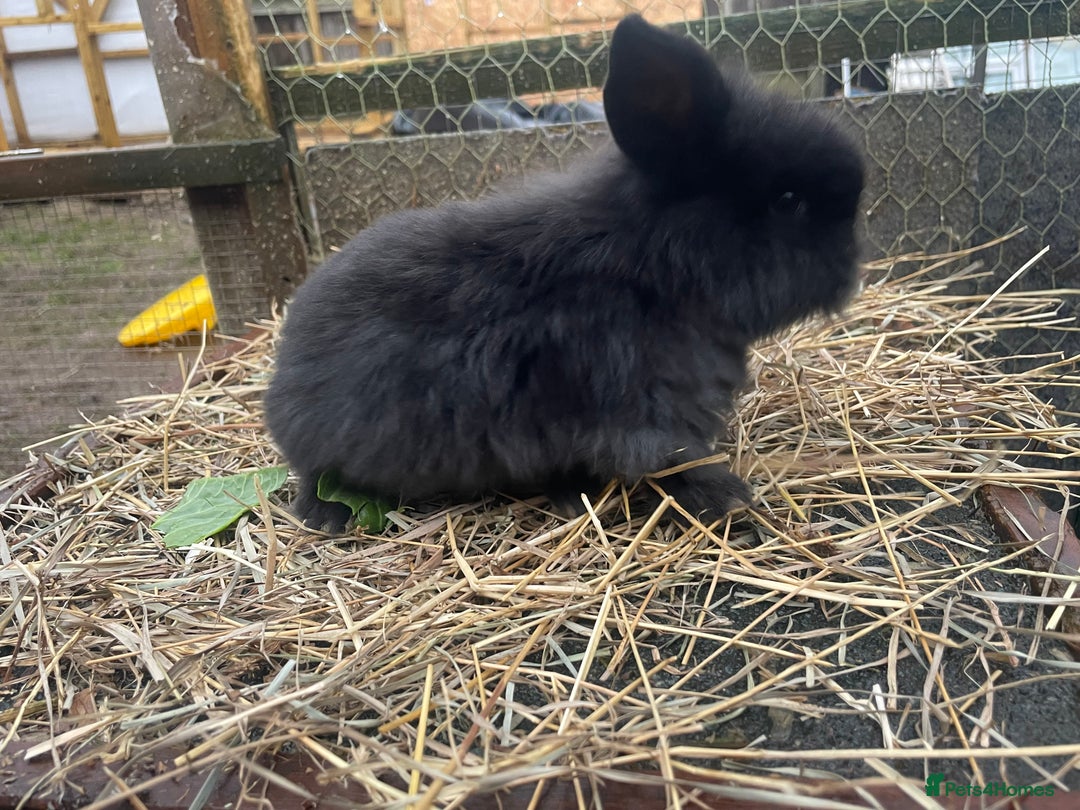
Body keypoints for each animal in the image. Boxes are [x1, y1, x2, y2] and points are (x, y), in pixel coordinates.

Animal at [264, 14, 865, 533]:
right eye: (789, 202)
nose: (851, 271)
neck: (654, 267)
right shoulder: (649, 411)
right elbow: (674, 460)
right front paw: (727, 496)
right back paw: (325, 515)